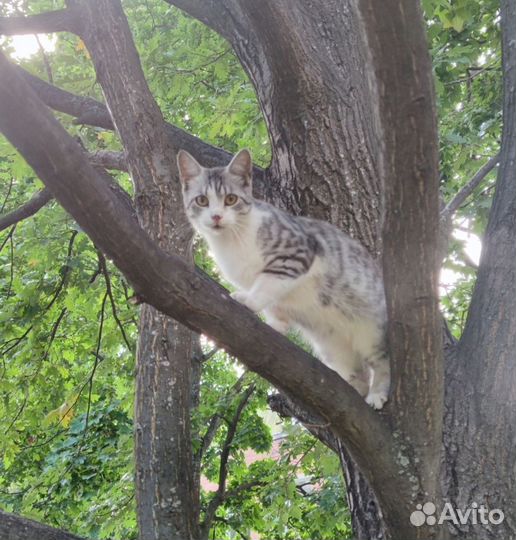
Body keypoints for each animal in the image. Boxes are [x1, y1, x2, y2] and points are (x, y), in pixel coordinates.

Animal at [175, 148, 390, 410]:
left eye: (231, 199)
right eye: (202, 201)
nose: (216, 217)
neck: (231, 241)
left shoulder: (296, 254)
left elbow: (267, 285)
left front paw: (249, 301)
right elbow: (274, 302)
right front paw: (276, 323)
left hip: (372, 330)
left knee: (382, 361)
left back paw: (377, 393)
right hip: (332, 346)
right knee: (359, 371)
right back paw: (355, 387)